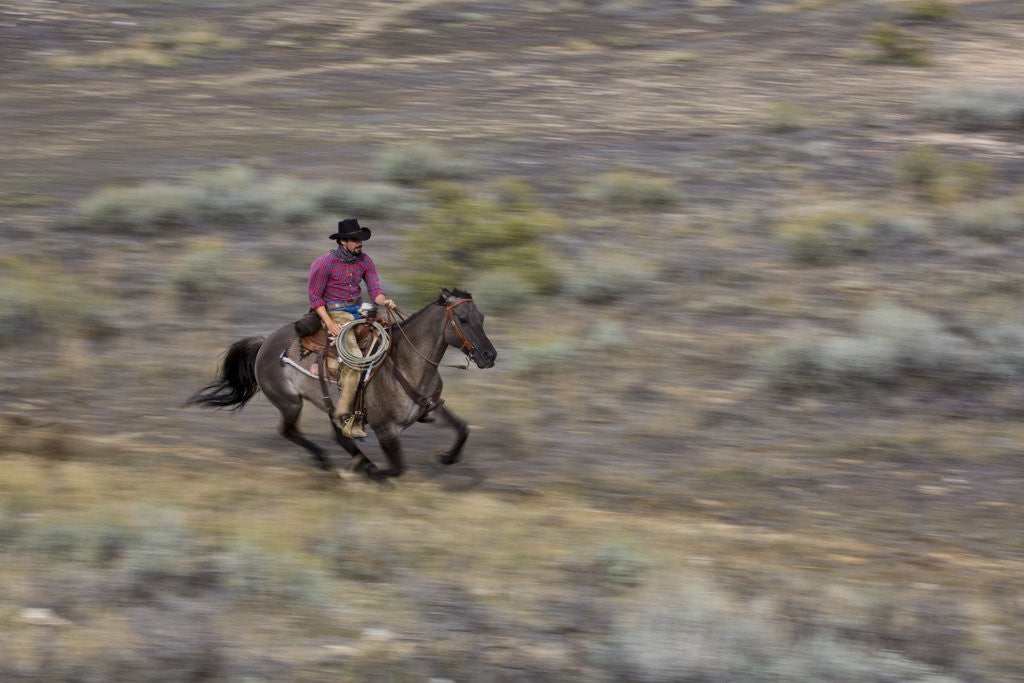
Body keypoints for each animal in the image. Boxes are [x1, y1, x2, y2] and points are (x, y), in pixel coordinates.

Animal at [192, 288, 499, 481]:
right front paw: (370, 473)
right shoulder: (386, 430)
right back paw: (328, 462)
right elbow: (397, 468)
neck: (407, 364)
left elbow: (462, 429)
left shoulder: (430, 411)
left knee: (337, 436)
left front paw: (446, 458)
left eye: (482, 317)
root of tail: (265, 342)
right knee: (289, 430)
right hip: (289, 402)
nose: (489, 356)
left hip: (334, 407)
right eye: (462, 319)